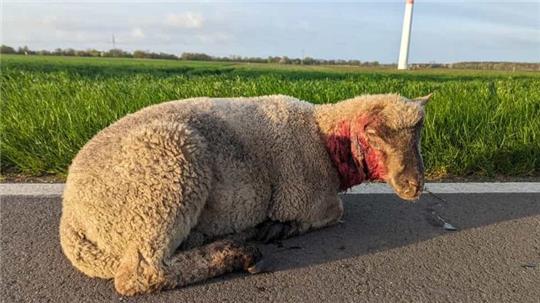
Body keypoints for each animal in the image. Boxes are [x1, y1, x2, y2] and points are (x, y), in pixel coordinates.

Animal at [59, 93, 430, 296]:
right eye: (374, 135)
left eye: (419, 135)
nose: (415, 185)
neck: (323, 136)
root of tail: (71, 215)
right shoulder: (310, 197)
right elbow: (335, 212)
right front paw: (281, 227)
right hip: (165, 175)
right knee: (141, 273)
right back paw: (237, 252)